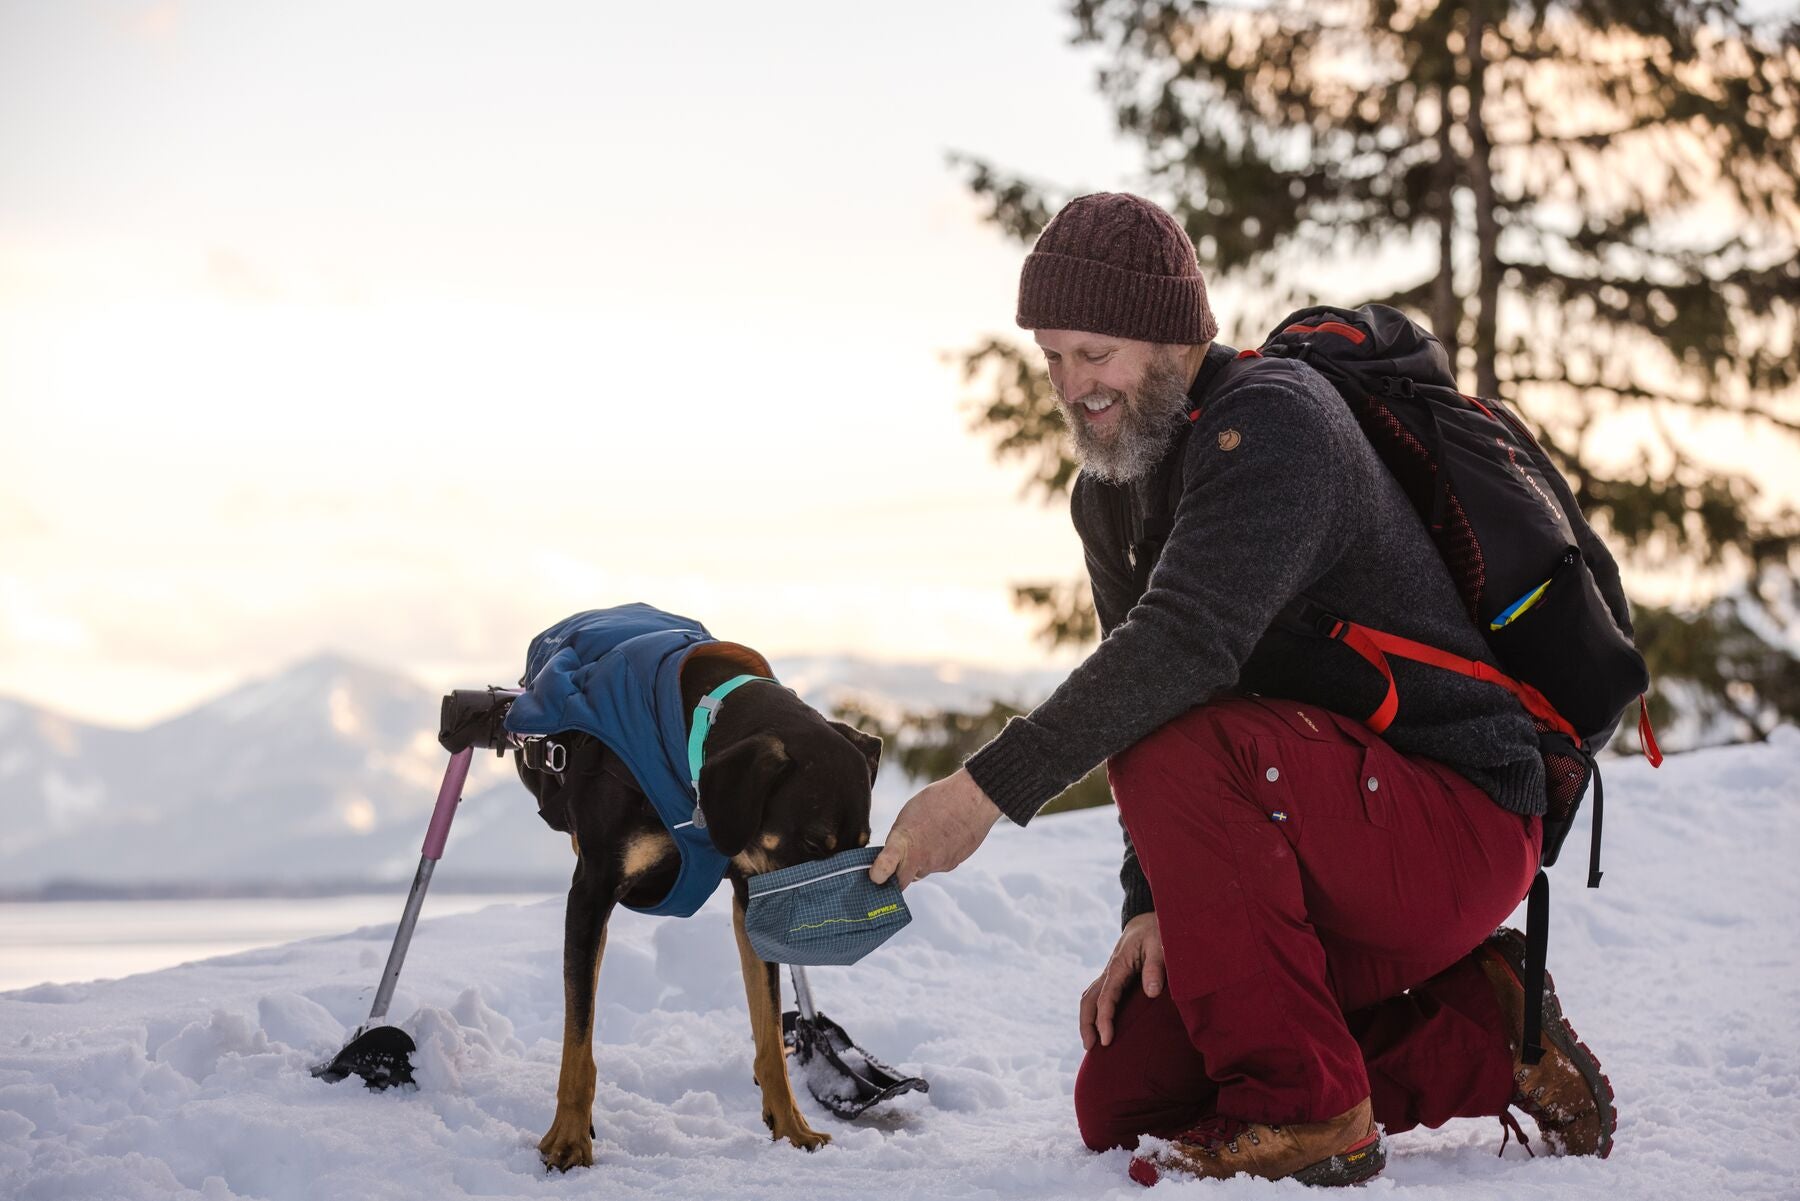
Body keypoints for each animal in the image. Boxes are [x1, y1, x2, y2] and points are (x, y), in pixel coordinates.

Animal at [514, 648, 878, 1173]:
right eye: (813, 843)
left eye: (864, 845)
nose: (838, 934)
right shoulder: (590, 895)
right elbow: (577, 1042)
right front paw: (567, 1140)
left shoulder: (753, 892)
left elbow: (770, 1036)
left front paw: (792, 1128)